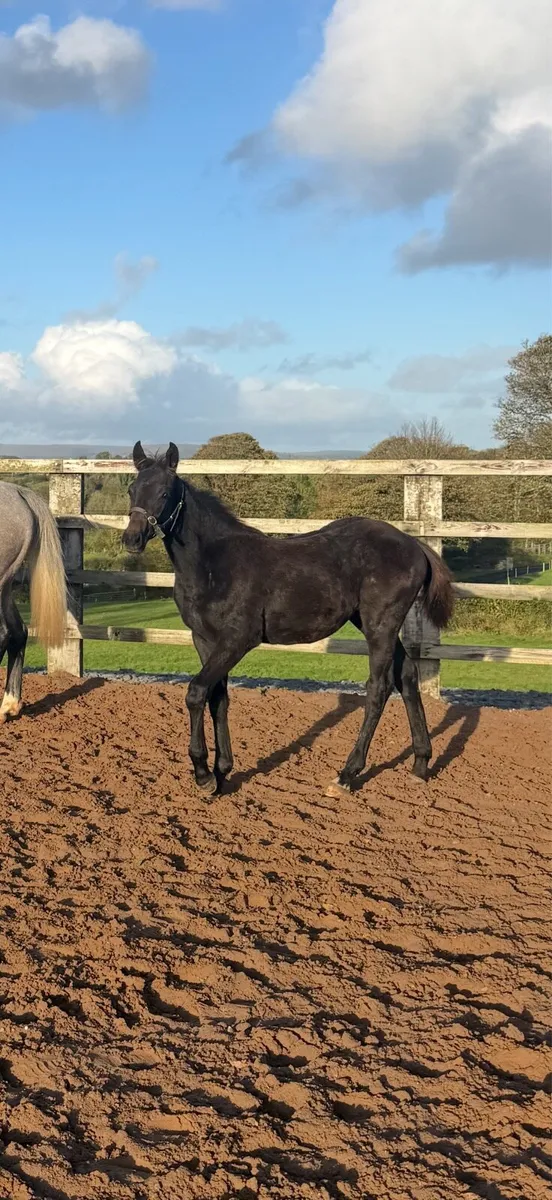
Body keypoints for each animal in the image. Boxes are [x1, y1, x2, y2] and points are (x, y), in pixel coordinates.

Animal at [122, 441, 454, 797]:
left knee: (379, 686)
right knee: (407, 676)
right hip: (374, 623)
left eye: (165, 491)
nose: (132, 539)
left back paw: (346, 775)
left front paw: (203, 774)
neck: (214, 564)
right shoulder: (205, 639)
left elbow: (196, 692)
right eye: (132, 489)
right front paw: (222, 773)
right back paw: (420, 764)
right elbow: (218, 698)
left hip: (381, 624)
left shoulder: (238, 639)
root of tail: (415, 545)